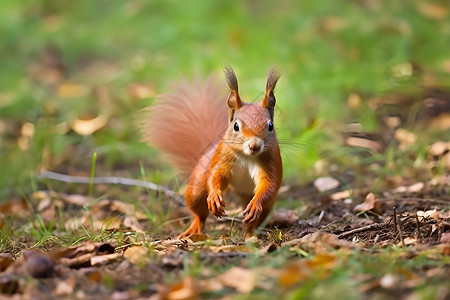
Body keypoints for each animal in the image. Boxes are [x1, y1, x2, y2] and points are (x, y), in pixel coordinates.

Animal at [142, 66, 282, 239]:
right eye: (236, 126)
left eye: (270, 126)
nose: (254, 146)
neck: (247, 157)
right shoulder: (222, 157)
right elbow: (215, 175)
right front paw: (215, 195)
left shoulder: (270, 160)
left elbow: (269, 184)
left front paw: (257, 204)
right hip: (197, 190)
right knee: (199, 212)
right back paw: (195, 227)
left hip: (260, 203)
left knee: (253, 218)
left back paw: (250, 234)